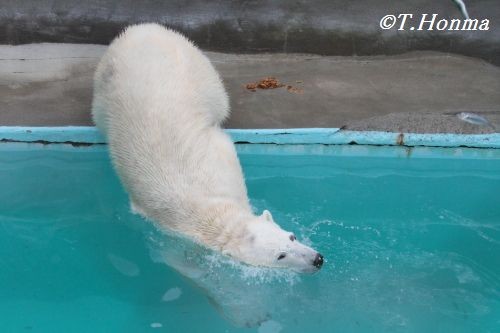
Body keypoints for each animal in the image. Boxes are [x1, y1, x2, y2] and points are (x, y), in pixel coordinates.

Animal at [91, 22, 322, 272]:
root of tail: (142, 28)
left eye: (291, 237)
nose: (317, 259)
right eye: (281, 255)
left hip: (193, 62)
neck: (209, 211)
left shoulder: (224, 160)